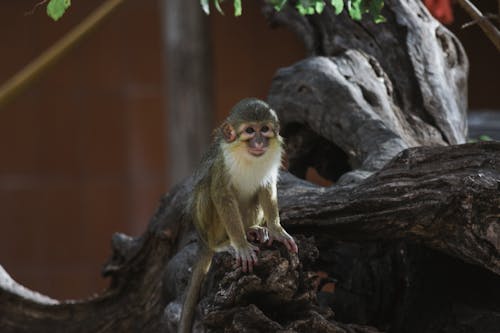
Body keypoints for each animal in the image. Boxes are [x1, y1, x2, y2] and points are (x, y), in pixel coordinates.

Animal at [178, 97, 296, 332]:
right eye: (250, 131)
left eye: (264, 129)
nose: (259, 142)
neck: (246, 154)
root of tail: (203, 241)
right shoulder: (222, 163)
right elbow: (221, 193)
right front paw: (240, 244)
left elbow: (266, 188)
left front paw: (277, 230)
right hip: (207, 229)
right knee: (206, 189)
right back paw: (222, 243)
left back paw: (252, 230)